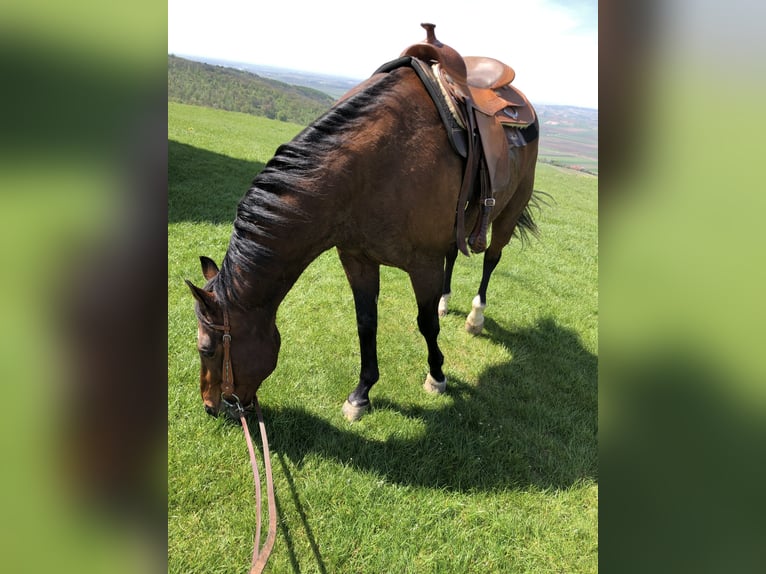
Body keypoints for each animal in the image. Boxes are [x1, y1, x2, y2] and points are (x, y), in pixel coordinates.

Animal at [186, 56, 540, 422]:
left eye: (206, 349)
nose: (210, 406)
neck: (376, 165)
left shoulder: (424, 265)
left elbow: (426, 324)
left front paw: (437, 376)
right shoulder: (357, 257)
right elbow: (366, 324)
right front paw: (361, 393)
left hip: (509, 212)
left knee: (491, 259)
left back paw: (475, 316)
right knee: (454, 256)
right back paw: (445, 301)